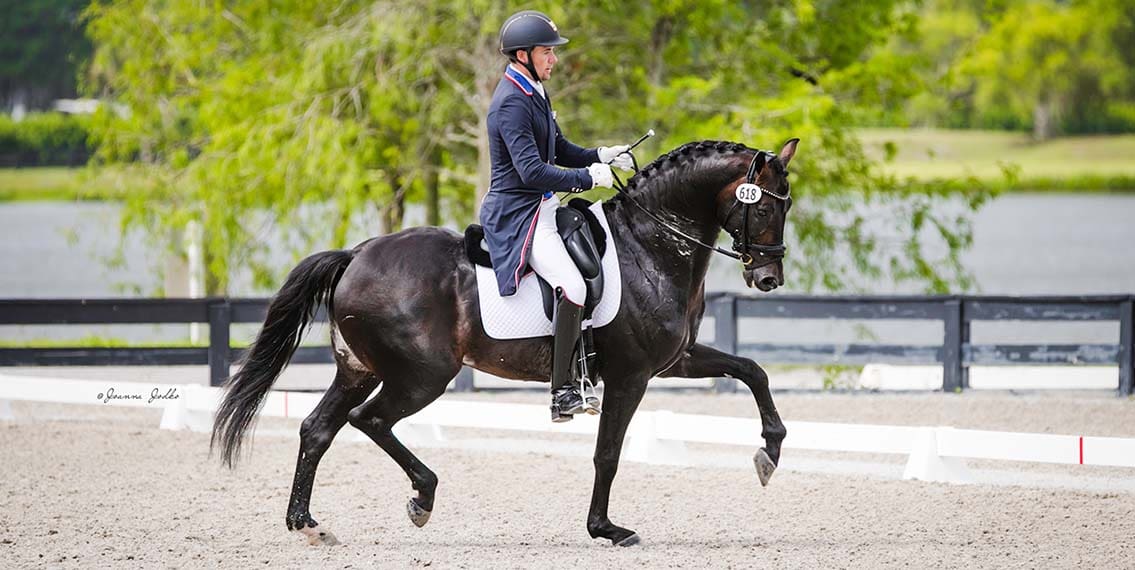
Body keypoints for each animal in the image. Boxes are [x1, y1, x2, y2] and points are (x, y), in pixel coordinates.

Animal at [211, 138, 798, 547]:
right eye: (766, 207)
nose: (768, 279)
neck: (649, 246)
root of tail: (356, 254)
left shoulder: (674, 361)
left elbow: (752, 370)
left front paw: (768, 452)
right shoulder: (630, 375)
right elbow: (607, 453)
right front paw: (606, 529)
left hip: (359, 369)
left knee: (318, 429)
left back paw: (308, 525)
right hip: (423, 376)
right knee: (370, 420)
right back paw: (422, 497)